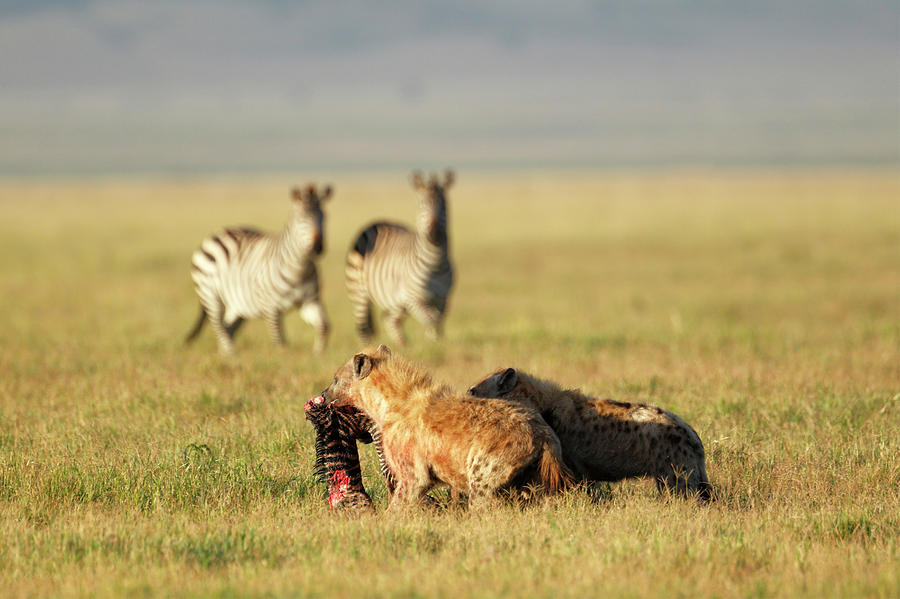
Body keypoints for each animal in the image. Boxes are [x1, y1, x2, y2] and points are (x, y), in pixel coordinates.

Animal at [185, 184, 331, 356]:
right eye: (301, 218)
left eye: (324, 217)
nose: (318, 247)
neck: (300, 270)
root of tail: (219, 232)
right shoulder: (271, 309)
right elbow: (279, 340)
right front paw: (282, 358)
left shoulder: (309, 301)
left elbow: (324, 325)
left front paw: (318, 353)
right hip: (209, 294)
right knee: (218, 325)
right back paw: (231, 352)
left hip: (238, 304)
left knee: (228, 327)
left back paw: (227, 354)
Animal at [345, 170, 455, 346]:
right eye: (422, 205)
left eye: (444, 205)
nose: (434, 233)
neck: (435, 264)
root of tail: (376, 223)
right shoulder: (414, 298)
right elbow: (432, 319)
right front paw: (434, 345)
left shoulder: (443, 298)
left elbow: (438, 322)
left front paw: (435, 344)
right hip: (359, 293)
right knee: (363, 329)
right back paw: (370, 348)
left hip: (397, 301)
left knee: (389, 319)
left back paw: (403, 344)